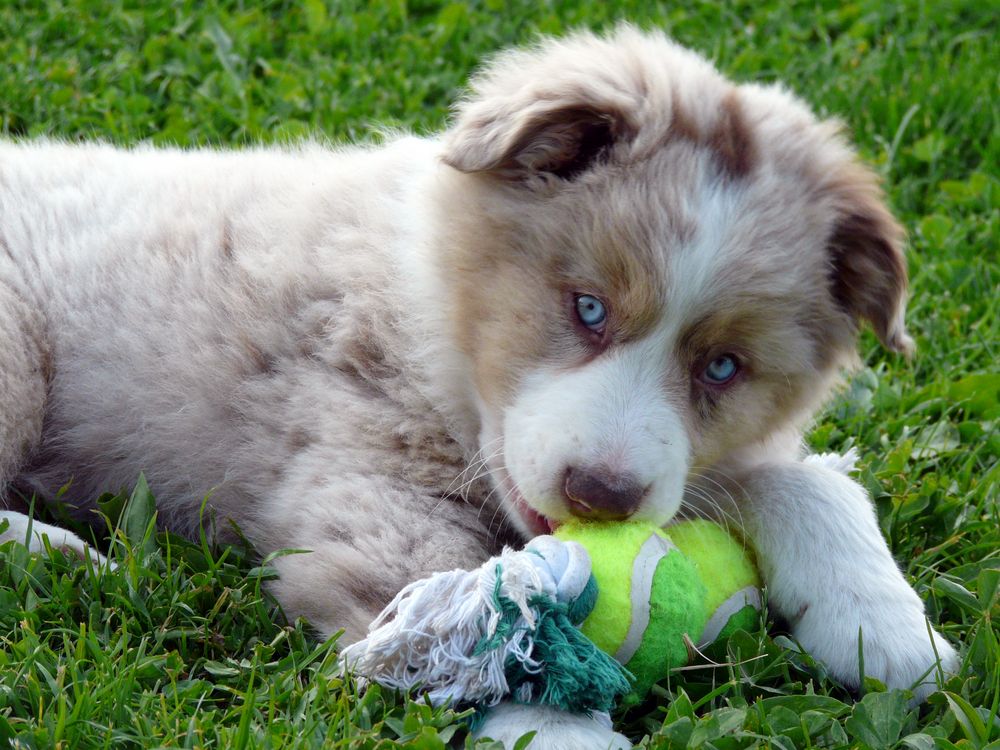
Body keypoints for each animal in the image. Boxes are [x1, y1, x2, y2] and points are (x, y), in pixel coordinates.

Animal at [0, 26, 956, 748]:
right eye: (587, 308)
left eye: (722, 366)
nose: (601, 495)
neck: (432, 313)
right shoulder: (372, 487)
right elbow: (487, 619)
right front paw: (564, 727)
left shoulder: (691, 461)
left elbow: (802, 479)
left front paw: (886, 627)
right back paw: (60, 555)